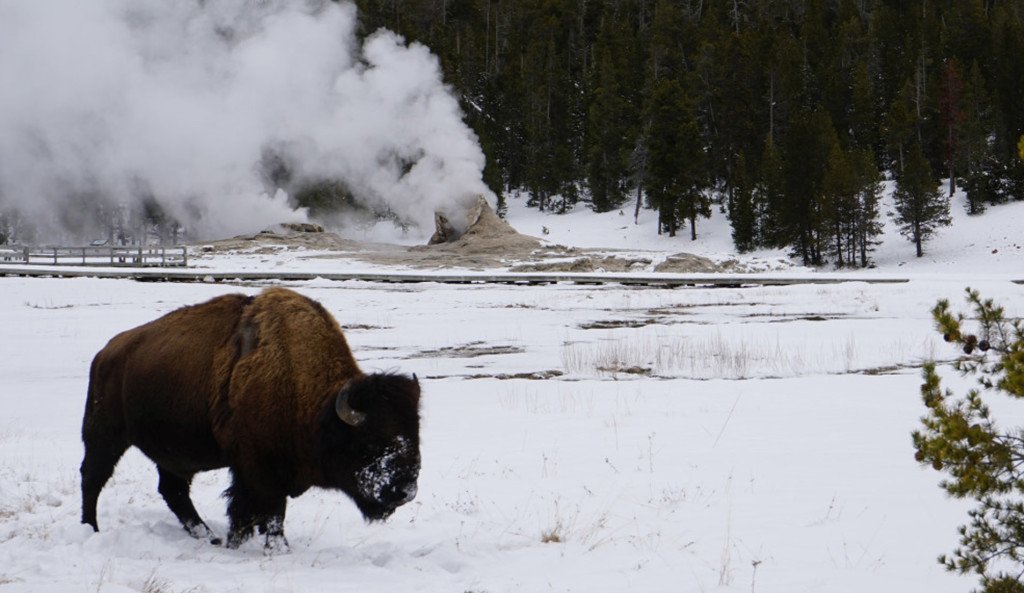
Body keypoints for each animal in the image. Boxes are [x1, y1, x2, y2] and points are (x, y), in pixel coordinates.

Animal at [77, 286, 417, 553]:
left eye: (414, 434)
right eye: (369, 441)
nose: (405, 491)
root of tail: (105, 353)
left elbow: (249, 511)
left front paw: (238, 540)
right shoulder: (260, 468)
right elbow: (270, 510)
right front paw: (275, 548)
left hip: (172, 454)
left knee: (173, 491)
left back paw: (208, 537)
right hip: (104, 435)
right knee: (93, 477)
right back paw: (90, 529)